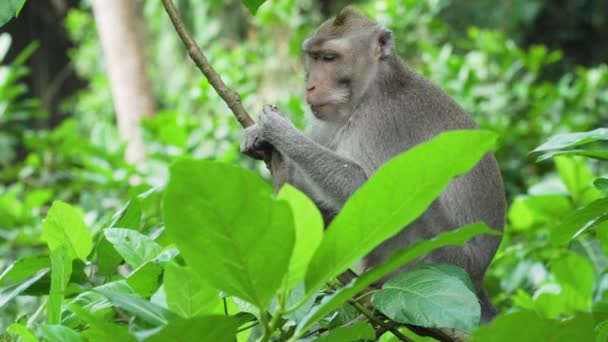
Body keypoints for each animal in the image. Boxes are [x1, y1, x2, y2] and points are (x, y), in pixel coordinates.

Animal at [240, 7, 506, 324]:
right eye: (313, 57)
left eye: (329, 58)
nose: (310, 85)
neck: (370, 89)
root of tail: (478, 279)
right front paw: (260, 138)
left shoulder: (382, 121)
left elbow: (369, 190)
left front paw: (280, 131)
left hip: (443, 254)